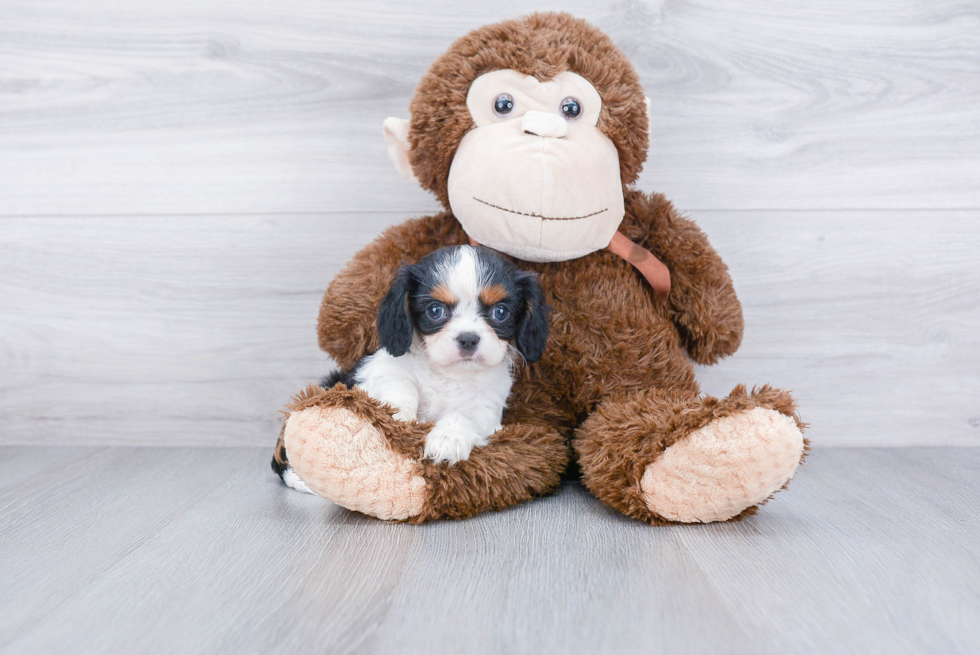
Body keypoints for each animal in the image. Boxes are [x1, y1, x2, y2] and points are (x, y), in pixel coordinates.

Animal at [278, 246, 552, 492]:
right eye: (435, 311)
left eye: (500, 312)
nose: (468, 339)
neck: (450, 373)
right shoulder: (380, 368)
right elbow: (401, 387)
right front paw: (398, 417)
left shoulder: (487, 409)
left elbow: (462, 415)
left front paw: (447, 440)